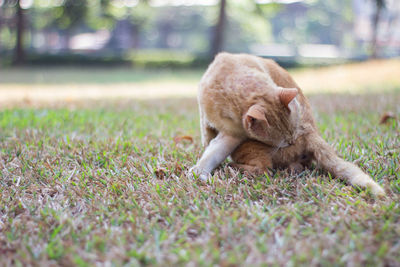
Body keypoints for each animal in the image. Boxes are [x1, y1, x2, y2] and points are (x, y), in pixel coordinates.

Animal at [189, 52, 386, 198]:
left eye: (288, 141)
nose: (292, 141)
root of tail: (312, 133)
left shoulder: (234, 136)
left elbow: (214, 151)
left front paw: (200, 170)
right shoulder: (209, 120)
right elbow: (209, 140)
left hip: (249, 149)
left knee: (263, 169)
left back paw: (233, 167)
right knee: (296, 166)